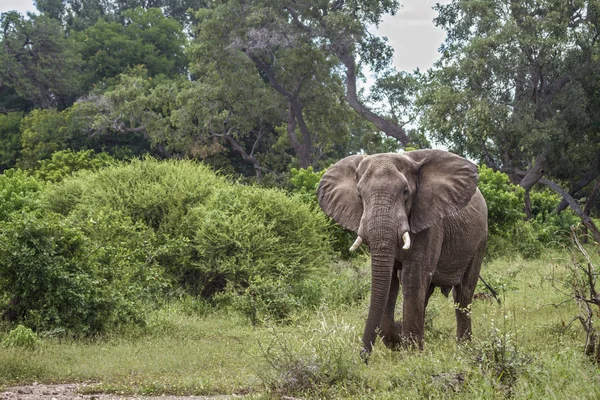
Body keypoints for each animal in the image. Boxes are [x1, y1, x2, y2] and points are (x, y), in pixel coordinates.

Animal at [316, 149, 486, 356]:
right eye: (359, 194)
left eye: (405, 192)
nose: (363, 356)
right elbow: (390, 281)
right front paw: (399, 337)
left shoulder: (429, 221)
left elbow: (413, 276)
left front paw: (412, 353)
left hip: (480, 240)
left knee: (463, 293)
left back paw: (464, 349)